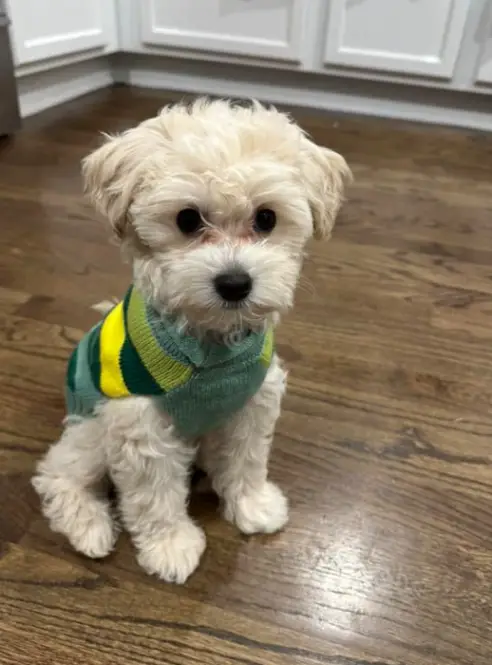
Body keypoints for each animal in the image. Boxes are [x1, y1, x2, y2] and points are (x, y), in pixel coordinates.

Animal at [31, 97, 350, 580]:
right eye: (187, 219)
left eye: (266, 218)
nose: (235, 283)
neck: (210, 343)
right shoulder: (139, 420)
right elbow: (154, 494)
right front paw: (170, 546)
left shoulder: (252, 401)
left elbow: (246, 459)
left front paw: (251, 505)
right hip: (91, 433)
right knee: (57, 473)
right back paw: (89, 526)